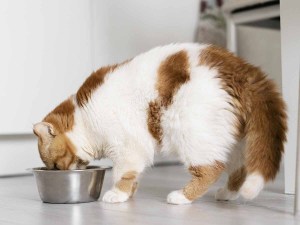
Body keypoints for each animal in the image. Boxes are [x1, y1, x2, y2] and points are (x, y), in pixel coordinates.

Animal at [32, 42, 286, 204]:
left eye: (55, 166)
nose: (61, 172)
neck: (86, 117)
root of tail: (241, 68)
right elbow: (133, 175)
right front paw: (130, 193)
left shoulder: (127, 147)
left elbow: (122, 174)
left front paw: (118, 194)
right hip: (233, 141)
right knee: (239, 169)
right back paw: (228, 193)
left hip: (192, 134)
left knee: (211, 169)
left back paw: (182, 197)